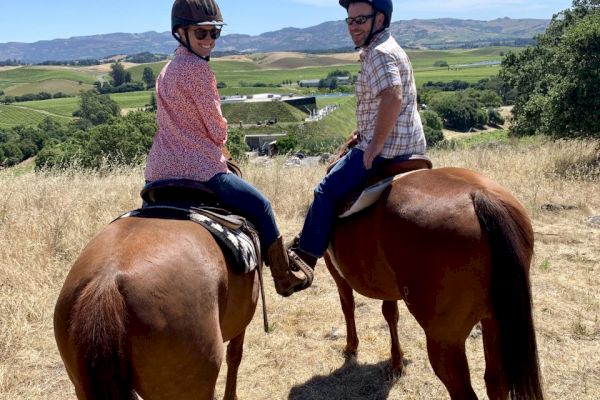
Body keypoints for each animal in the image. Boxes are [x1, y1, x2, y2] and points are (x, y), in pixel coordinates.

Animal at [324, 140, 544, 396]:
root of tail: (481, 196)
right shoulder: (387, 284)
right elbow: (390, 314)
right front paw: (396, 363)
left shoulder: (337, 273)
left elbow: (347, 306)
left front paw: (351, 347)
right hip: (495, 321)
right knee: (496, 382)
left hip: (445, 341)